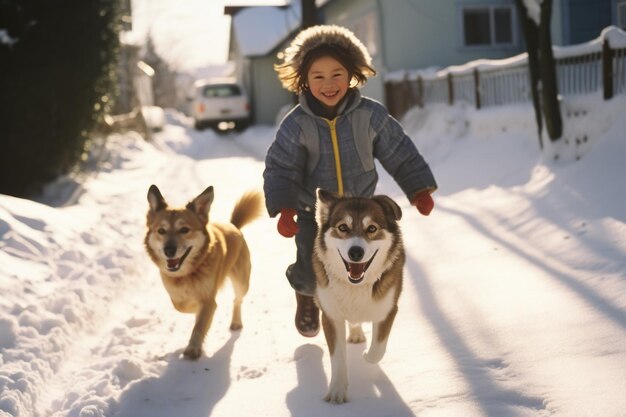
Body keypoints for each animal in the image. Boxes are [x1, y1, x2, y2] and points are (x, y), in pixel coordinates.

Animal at [145, 184, 262, 358]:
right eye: (161, 231)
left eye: (184, 230)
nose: (169, 250)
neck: (188, 274)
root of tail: (234, 225)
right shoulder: (176, 295)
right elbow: (181, 306)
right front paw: (194, 310)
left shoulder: (208, 298)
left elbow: (200, 324)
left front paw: (193, 348)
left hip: (242, 282)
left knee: (237, 299)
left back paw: (236, 322)